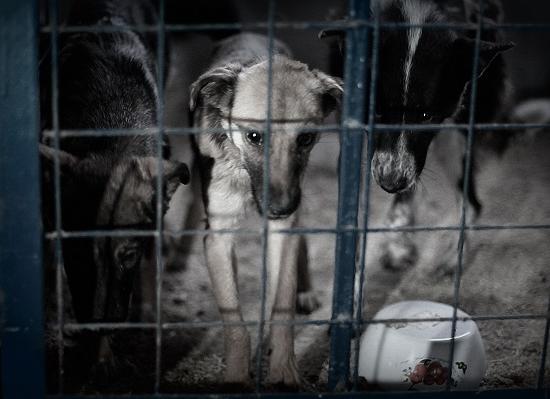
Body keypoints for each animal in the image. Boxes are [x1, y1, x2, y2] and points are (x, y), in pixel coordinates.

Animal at [190, 32, 342, 390]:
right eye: (254, 136)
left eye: (306, 138)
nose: (280, 208)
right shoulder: (217, 237)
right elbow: (234, 319)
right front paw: (235, 376)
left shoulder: (284, 228)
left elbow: (281, 308)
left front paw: (283, 371)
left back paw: (305, 291)